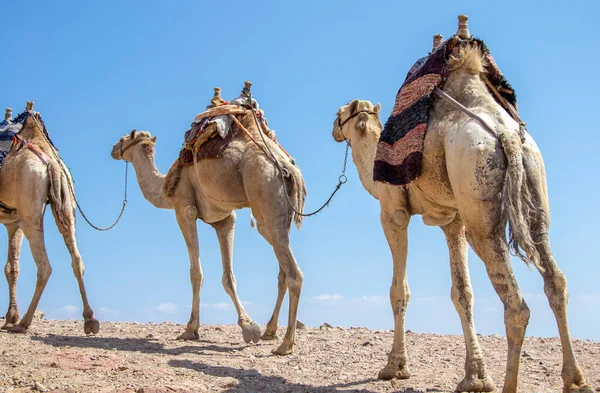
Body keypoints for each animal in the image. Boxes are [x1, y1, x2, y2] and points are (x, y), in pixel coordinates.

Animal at [0, 102, 99, 334]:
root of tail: (50, 162)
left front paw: (12, 318)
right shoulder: (12, 223)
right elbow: (12, 267)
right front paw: (10, 317)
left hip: (30, 212)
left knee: (45, 266)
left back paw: (24, 322)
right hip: (66, 205)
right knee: (77, 259)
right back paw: (90, 319)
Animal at [112, 94, 308, 352]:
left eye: (123, 139)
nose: (113, 149)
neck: (165, 188)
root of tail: (288, 167)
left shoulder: (184, 210)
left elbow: (196, 274)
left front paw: (190, 329)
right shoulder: (224, 220)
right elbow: (229, 276)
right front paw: (248, 326)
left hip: (265, 198)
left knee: (294, 273)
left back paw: (285, 344)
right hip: (281, 216)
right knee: (282, 273)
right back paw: (270, 330)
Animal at [330, 17, 592, 392]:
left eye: (342, 114)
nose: (333, 128)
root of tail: (508, 136)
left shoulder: (393, 212)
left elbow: (399, 291)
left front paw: (394, 367)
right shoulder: (453, 221)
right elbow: (462, 294)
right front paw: (475, 377)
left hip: (482, 211)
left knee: (516, 305)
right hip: (535, 193)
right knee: (556, 281)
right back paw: (575, 379)